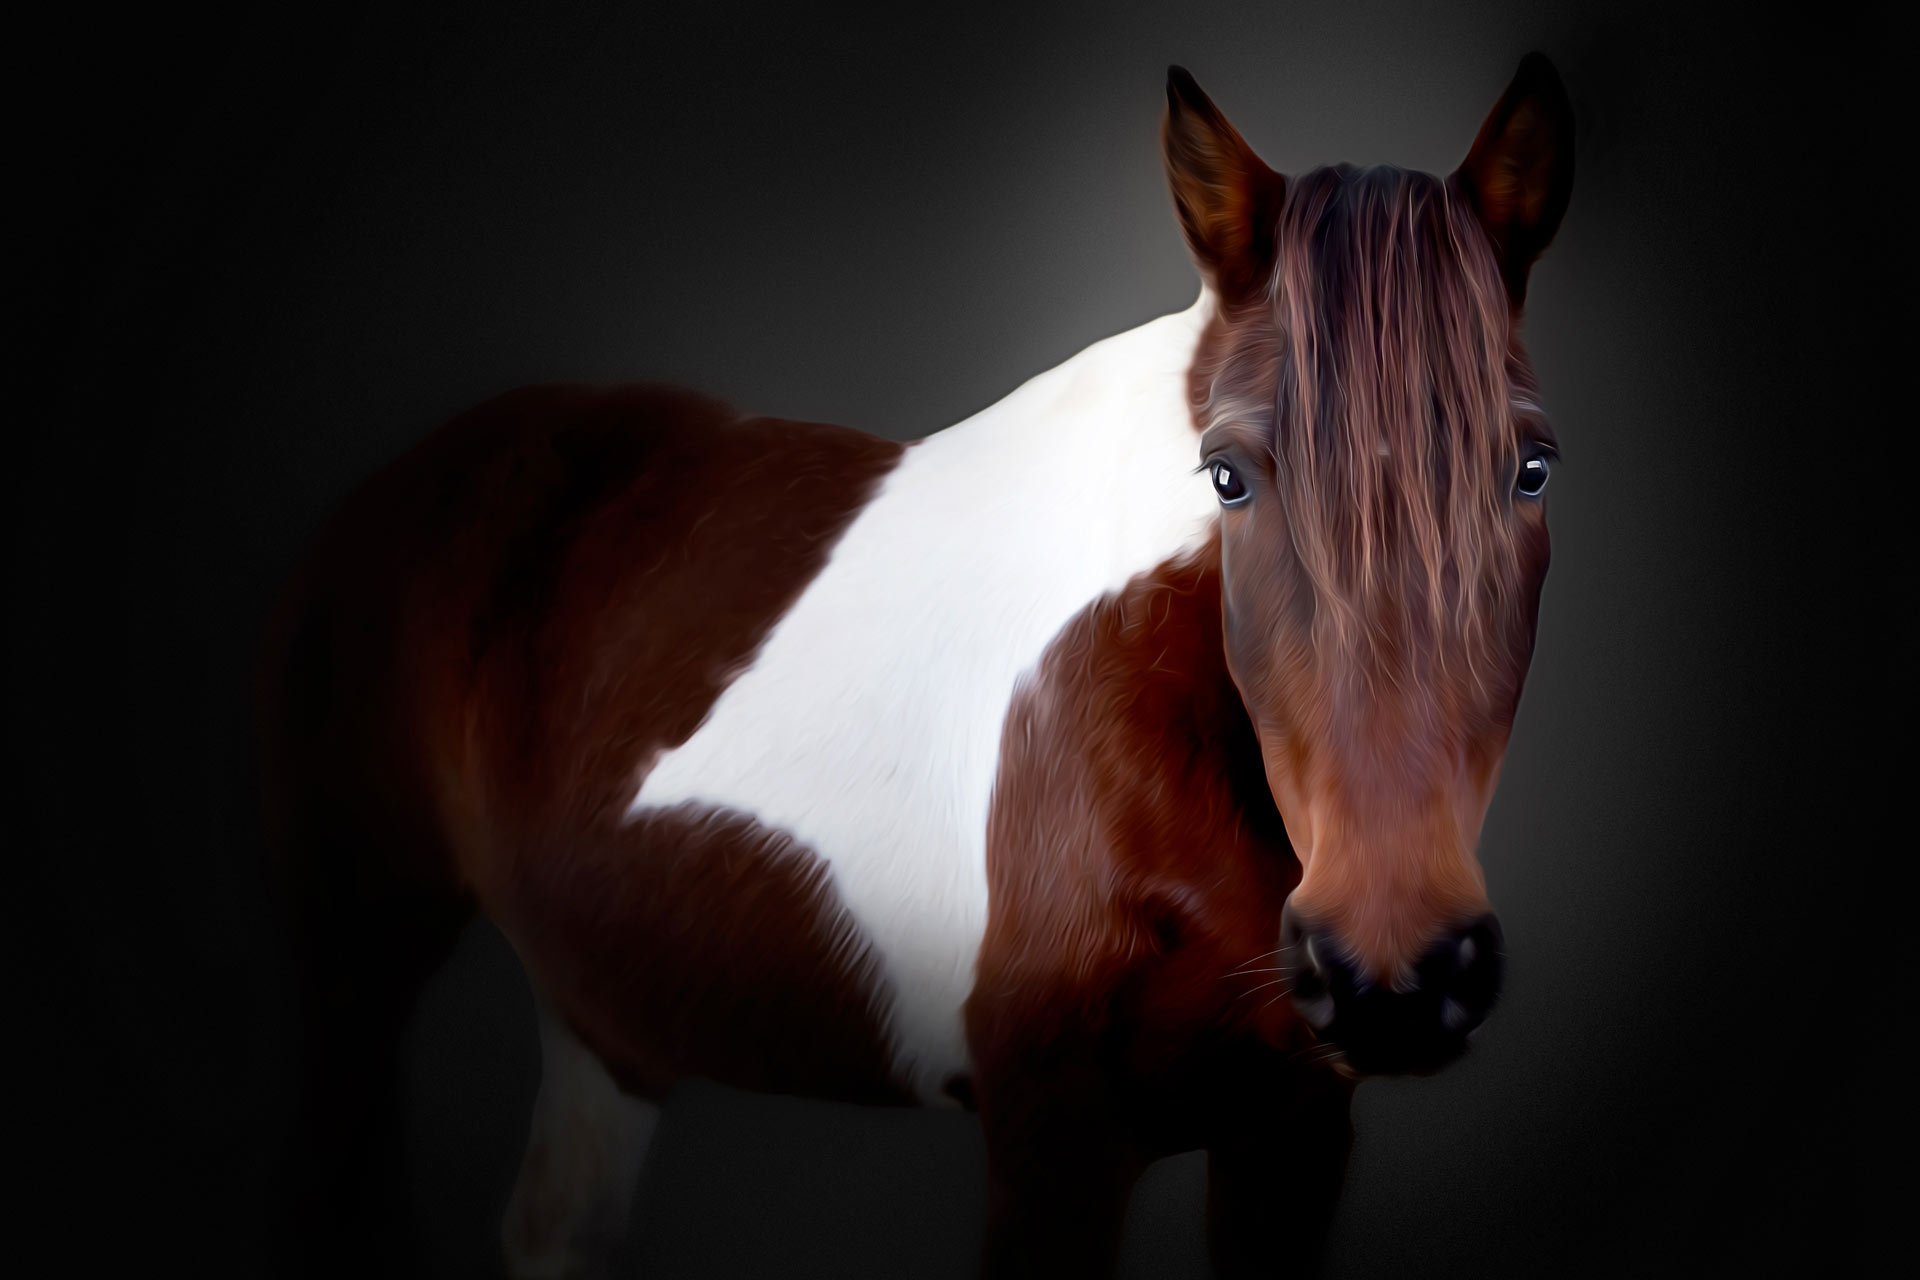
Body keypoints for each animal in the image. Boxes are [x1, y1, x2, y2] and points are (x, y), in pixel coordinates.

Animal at [259, 52, 1574, 1280]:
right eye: (1228, 473)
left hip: (606, 1017)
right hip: (356, 941)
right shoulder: (1055, 1139)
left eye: (1533, 467)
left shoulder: (1291, 1130)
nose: (1396, 971)